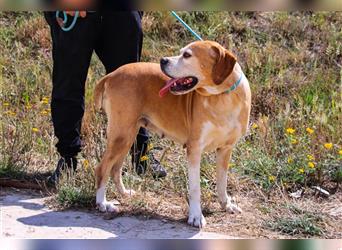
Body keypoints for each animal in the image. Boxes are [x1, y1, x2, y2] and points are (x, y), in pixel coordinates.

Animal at [93, 40, 251, 228]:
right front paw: (196, 216)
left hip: (128, 135)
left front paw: (226, 205)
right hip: (121, 135)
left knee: (115, 169)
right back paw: (103, 203)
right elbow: (195, 188)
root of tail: (112, 74)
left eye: (187, 55)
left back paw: (124, 193)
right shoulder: (194, 149)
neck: (223, 97)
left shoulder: (226, 149)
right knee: (103, 168)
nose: (163, 60)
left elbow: (222, 182)